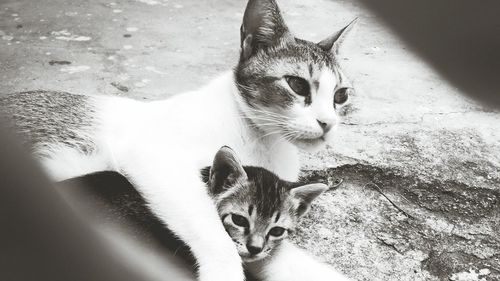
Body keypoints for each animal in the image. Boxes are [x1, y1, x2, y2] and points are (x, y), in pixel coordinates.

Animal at [1, 0, 358, 278]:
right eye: (297, 85)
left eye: (340, 95)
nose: (328, 123)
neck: (264, 141)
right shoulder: (156, 156)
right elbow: (214, 234)